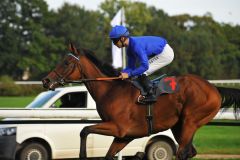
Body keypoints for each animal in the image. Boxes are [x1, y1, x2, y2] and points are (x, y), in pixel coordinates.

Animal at [42, 44, 239, 160]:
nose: (46, 80)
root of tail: (214, 88)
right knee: (189, 152)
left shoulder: (118, 127)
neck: (111, 90)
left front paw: (82, 155)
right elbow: (107, 154)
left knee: (182, 152)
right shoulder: (125, 136)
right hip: (179, 126)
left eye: (66, 63)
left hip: (191, 121)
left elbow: (84, 130)